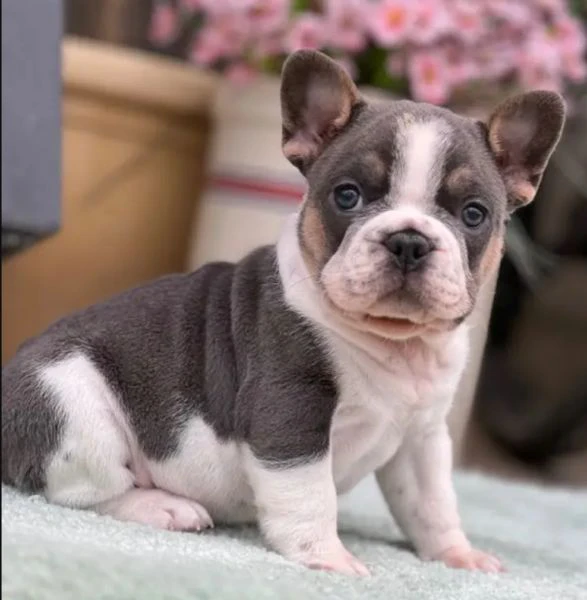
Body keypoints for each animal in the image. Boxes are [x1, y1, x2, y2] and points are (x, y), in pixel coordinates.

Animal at [2, 49, 568, 576]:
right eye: (347, 196)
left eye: (473, 214)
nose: (409, 240)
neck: (393, 341)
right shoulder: (290, 413)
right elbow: (309, 495)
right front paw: (328, 559)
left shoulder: (421, 437)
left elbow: (432, 503)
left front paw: (457, 555)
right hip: (71, 403)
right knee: (81, 491)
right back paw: (164, 507)